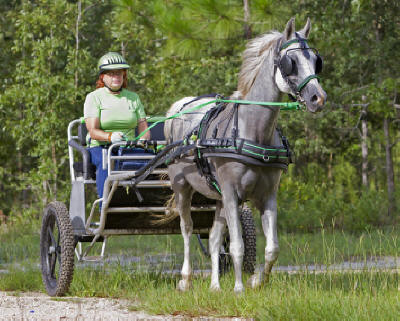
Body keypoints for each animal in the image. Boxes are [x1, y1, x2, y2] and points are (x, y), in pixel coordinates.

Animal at [164, 17, 326, 292]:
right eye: (290, 62)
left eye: (316, 61)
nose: (318, 98)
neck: (252, 131)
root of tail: (179, 107)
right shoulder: (231, 193)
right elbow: (238, 245)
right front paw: (239, 288)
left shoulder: (267, 195)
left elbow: (272, 248)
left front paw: (257, 280)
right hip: (183, 187)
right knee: (187, 229)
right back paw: (185, 279)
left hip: (217, 197)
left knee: (214, 238)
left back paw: (215, 285)